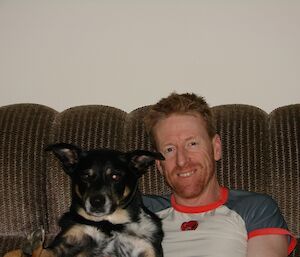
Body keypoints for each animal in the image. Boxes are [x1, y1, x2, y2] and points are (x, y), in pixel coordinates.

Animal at [5, 143, 164, 255]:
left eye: (115, 176)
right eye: (85, 176)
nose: (97, 202)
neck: (110, 224)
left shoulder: (146, 247)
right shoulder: (69, 241)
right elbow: (45, 251)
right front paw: (32, 245)